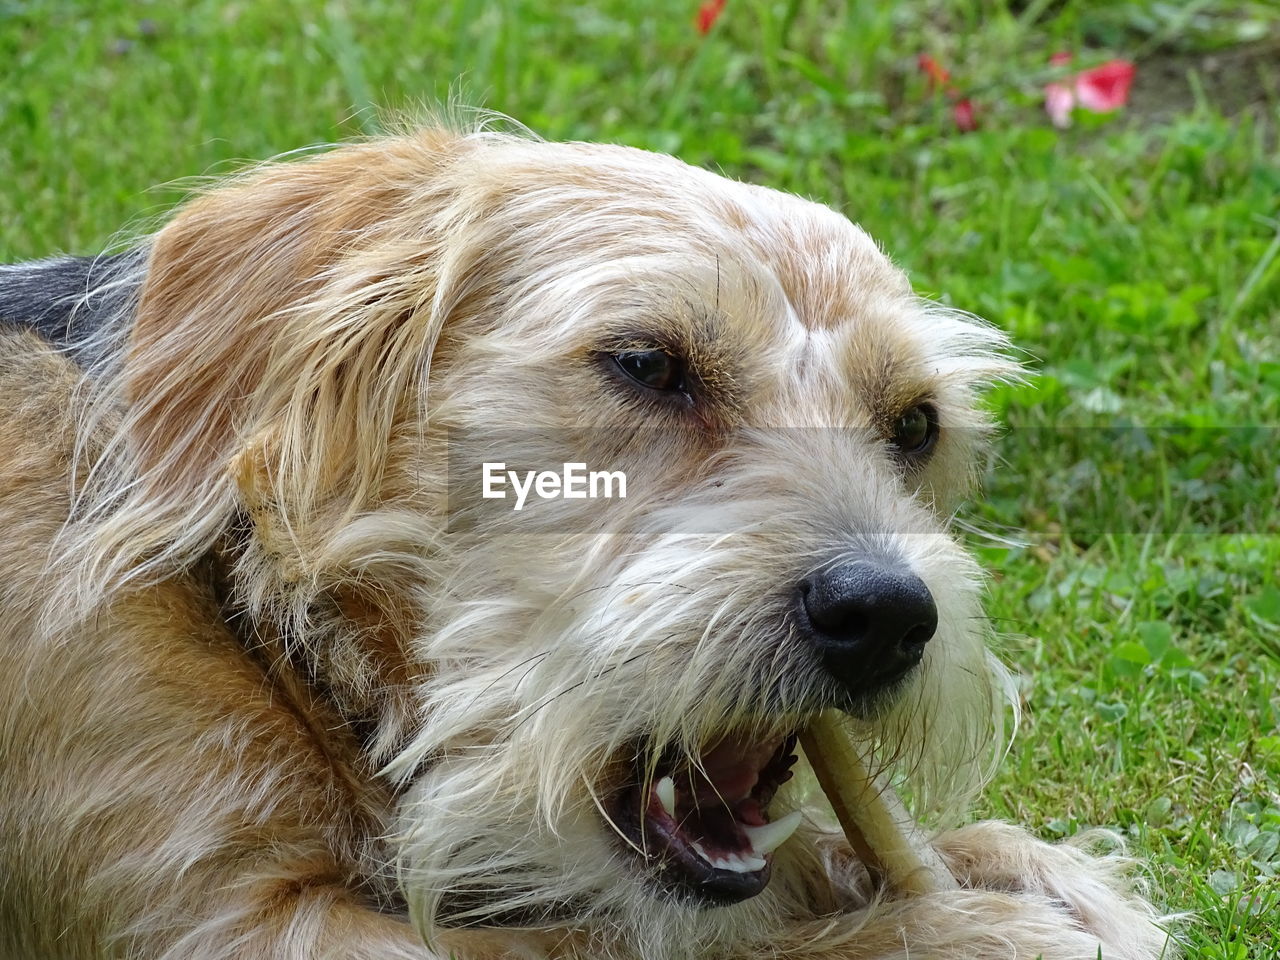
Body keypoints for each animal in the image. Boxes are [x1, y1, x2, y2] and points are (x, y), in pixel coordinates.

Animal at [0, 128, 1172, 960]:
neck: (273, 631)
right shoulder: (226, 918)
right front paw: (954, 933)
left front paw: (1015, 869)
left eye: (916, 425)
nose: (884, 615)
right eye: (649, 365)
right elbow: (635, 943)